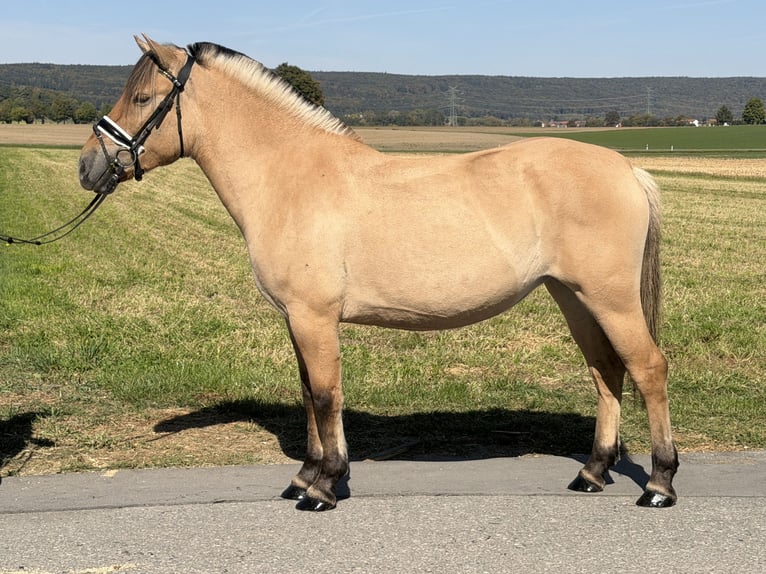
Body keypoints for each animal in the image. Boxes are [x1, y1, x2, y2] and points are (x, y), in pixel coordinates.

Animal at [79, 36, 678, 511]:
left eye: (142, 98)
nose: (87, 166)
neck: (290, 176)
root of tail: (628, 168)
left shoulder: (314, 317)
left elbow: (325, 395)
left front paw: (324, 487)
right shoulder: (297, 319)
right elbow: (308, 393)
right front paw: (304, 478)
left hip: (610, 299)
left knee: (648, 369)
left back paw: (659, 483)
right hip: (573, 296)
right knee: (607, 372)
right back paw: (592, 473)